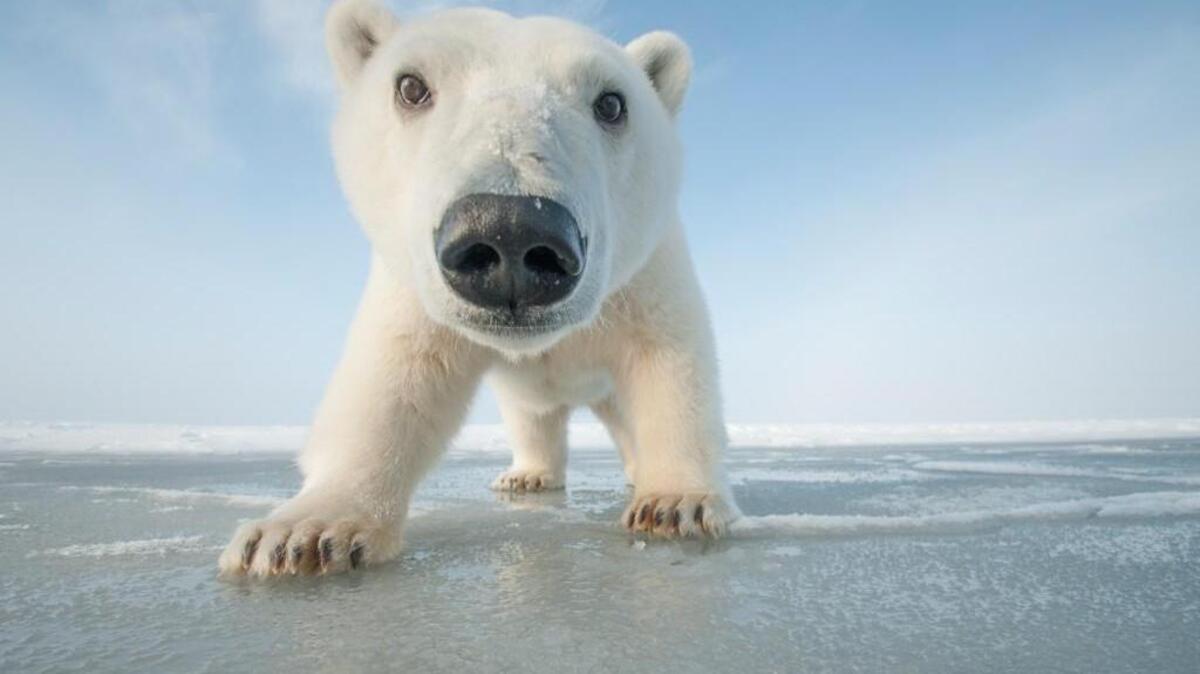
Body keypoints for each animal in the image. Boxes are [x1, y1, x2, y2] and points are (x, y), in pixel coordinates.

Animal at [219, 0, 739, 577]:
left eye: (611, 102)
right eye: (411, 86)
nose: (511, 231)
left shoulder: (644, 277)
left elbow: (669, 364)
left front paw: (678, 503)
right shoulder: (415, 295)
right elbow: (394, 381)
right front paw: (301, 534)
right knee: (533, 416)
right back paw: (528, 475)